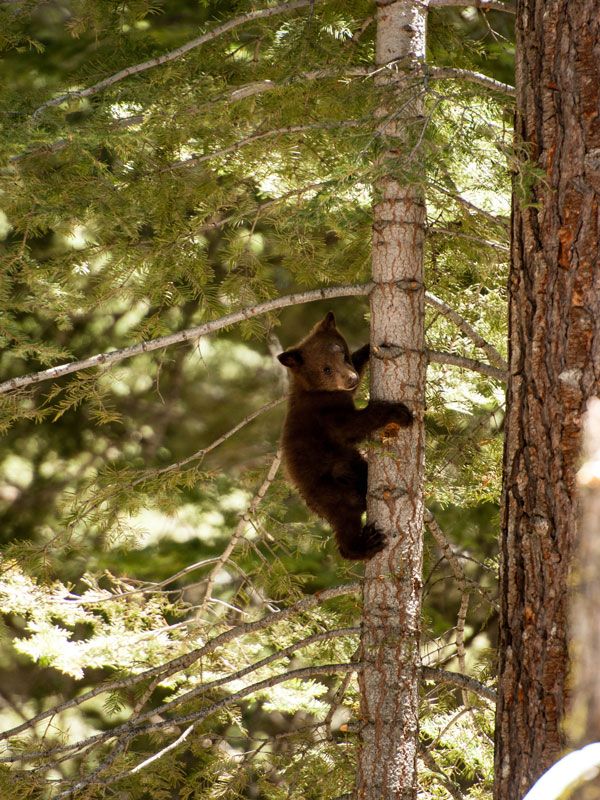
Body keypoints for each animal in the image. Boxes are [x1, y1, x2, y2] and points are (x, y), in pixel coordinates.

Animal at [277, 311, 413, 560]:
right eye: (326, 369)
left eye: (343, 355)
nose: (351, 379)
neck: (316, 391)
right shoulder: (325, 414)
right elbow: (353, 426)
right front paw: (398, 413)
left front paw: (370, 349)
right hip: (328, 487)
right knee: (345, 516)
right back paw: (365, 544)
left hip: (350, 465)